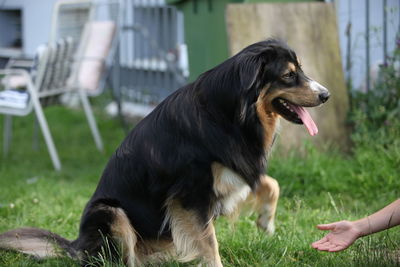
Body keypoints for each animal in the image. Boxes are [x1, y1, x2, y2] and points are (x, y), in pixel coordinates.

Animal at [0, 38, 330, 266]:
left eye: (299, 71)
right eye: (288, 75)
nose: (326, 94)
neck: (230, 113)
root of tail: (76, 246)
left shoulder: (233, 168)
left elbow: (270, 184)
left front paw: (266, 222)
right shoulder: (191, 195)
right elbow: (209, 243)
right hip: (110, 212)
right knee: (123, 259)